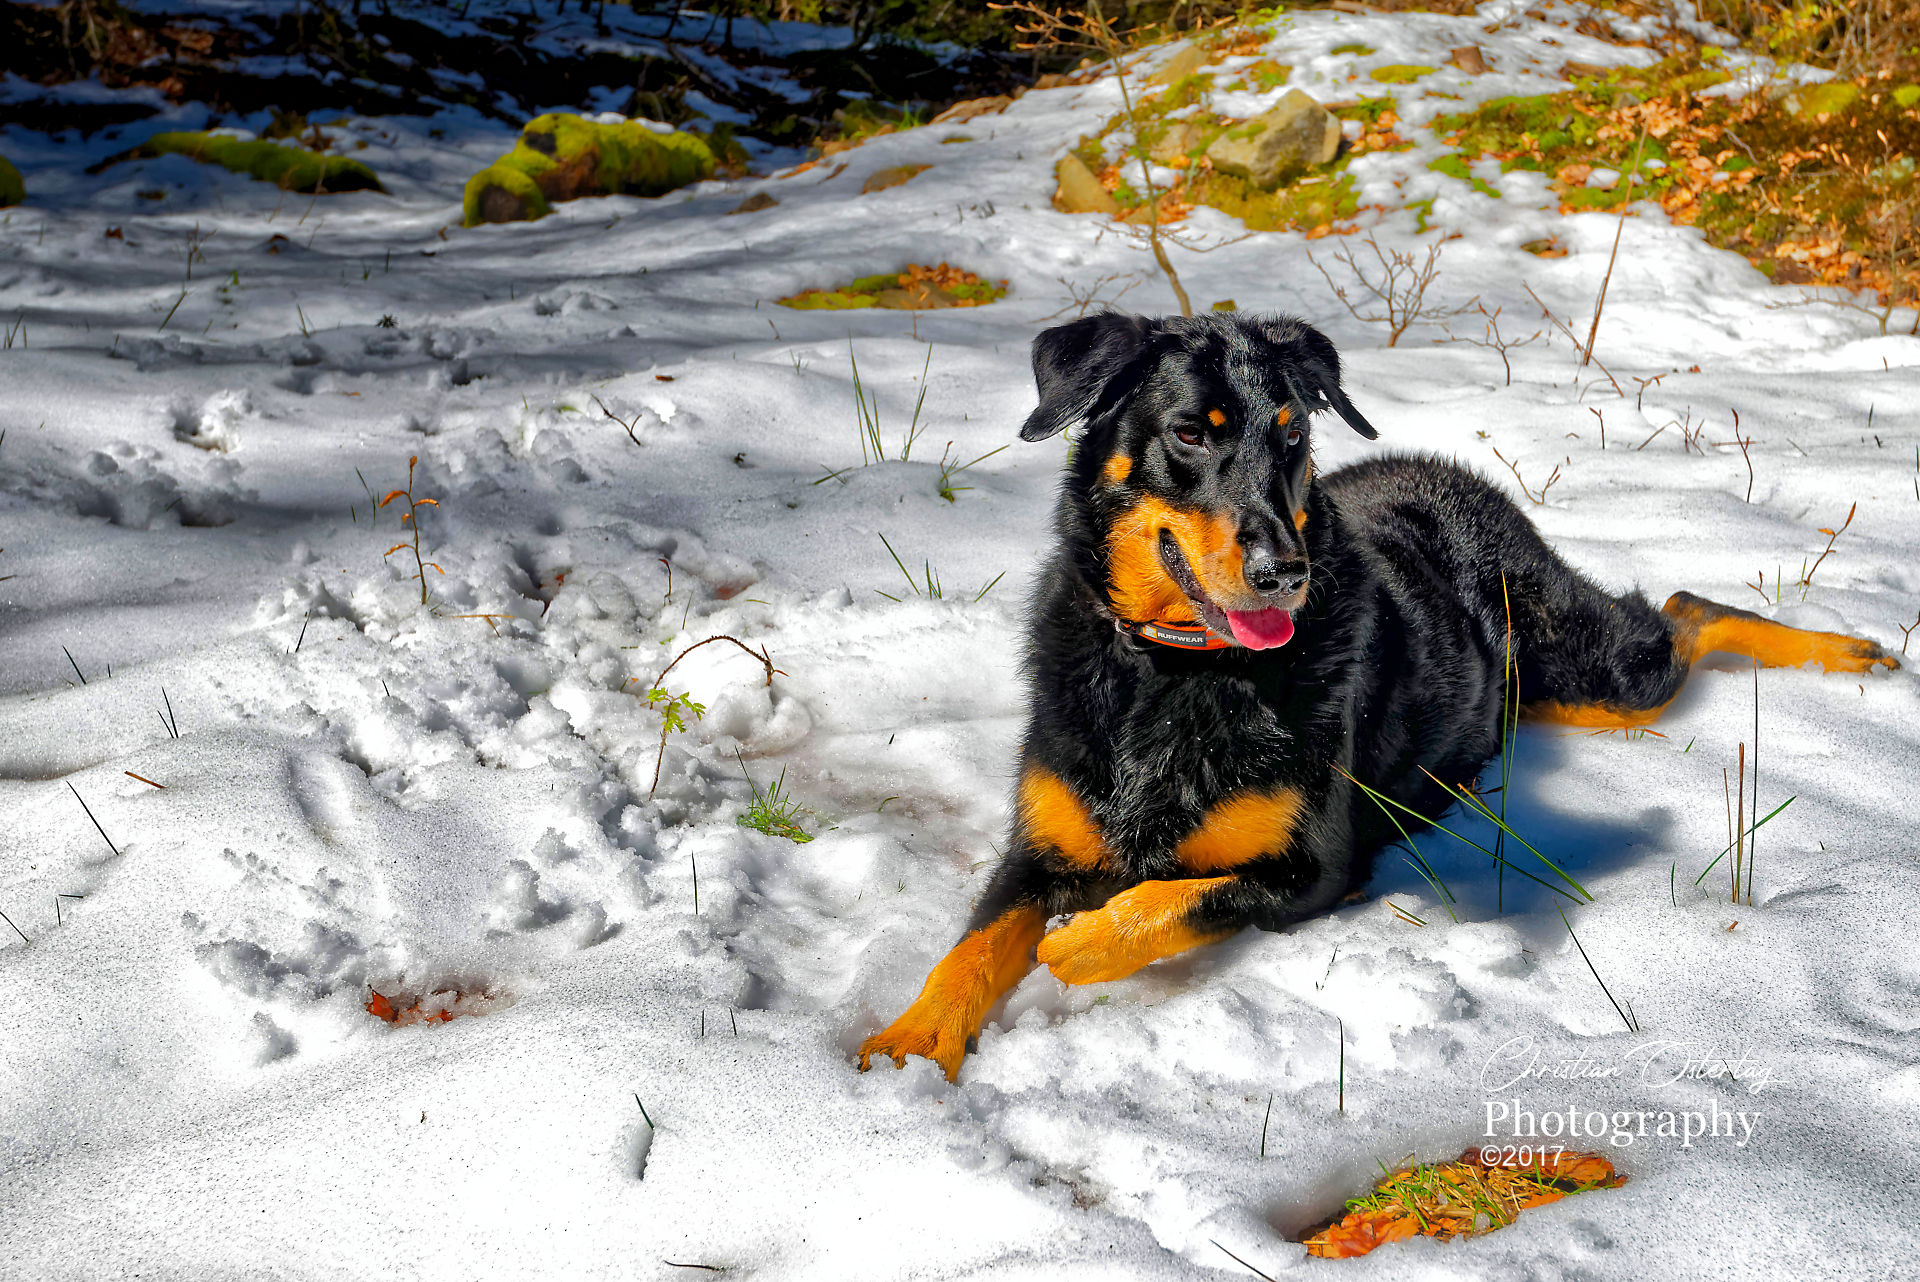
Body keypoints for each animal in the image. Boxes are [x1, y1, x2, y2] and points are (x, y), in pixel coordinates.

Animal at [858, 311, 1898, 1083]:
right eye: (1191, 432)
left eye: (1293, 437)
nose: (1285, 572)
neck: (1177, 670)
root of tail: (1442, 469)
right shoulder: (1038, 847)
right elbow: (974, 943)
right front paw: (913, 1039)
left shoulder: (1316, 869)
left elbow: (1173, 899)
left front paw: (1082, 941)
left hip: (1596, 674)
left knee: (1685, 610)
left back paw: (1841, 650)